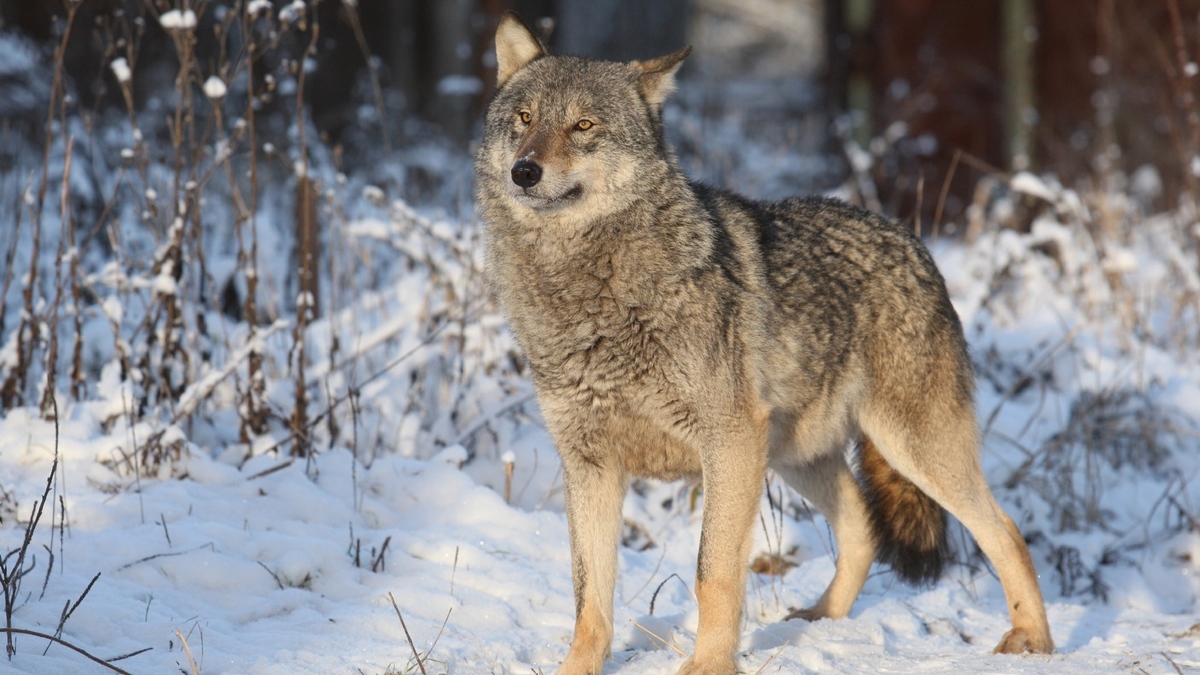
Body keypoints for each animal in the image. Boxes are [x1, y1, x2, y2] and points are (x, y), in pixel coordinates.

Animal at [472, 11, 1056, 672]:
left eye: (584, 125)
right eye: (525, 119)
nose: (525, 170)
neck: (588, 295)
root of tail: (910, 237)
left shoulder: (727, 443)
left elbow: (714, 573)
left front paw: (708, 666)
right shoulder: (590, 464)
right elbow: (589, 596)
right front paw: (577, 667)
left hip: (910, 450)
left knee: (1006, 531)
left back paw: (1032, 640)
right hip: (795, 457)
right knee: (863, 527)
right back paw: (818, 620)